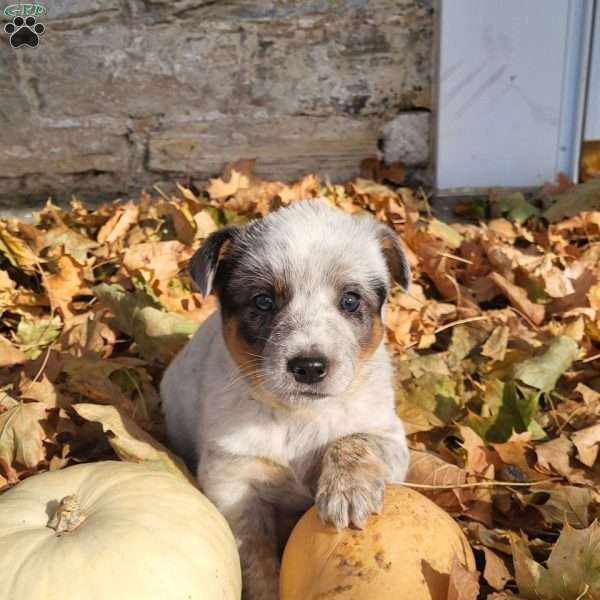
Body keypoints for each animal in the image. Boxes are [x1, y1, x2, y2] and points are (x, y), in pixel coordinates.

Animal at [161, 200, 412, 600]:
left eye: (350, 300)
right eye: (264, 301)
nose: (309, 367)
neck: (299, 416)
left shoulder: (390, 439)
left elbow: (352, 440)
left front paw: (347, 493)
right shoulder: (232, 480)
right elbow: (254, 556)